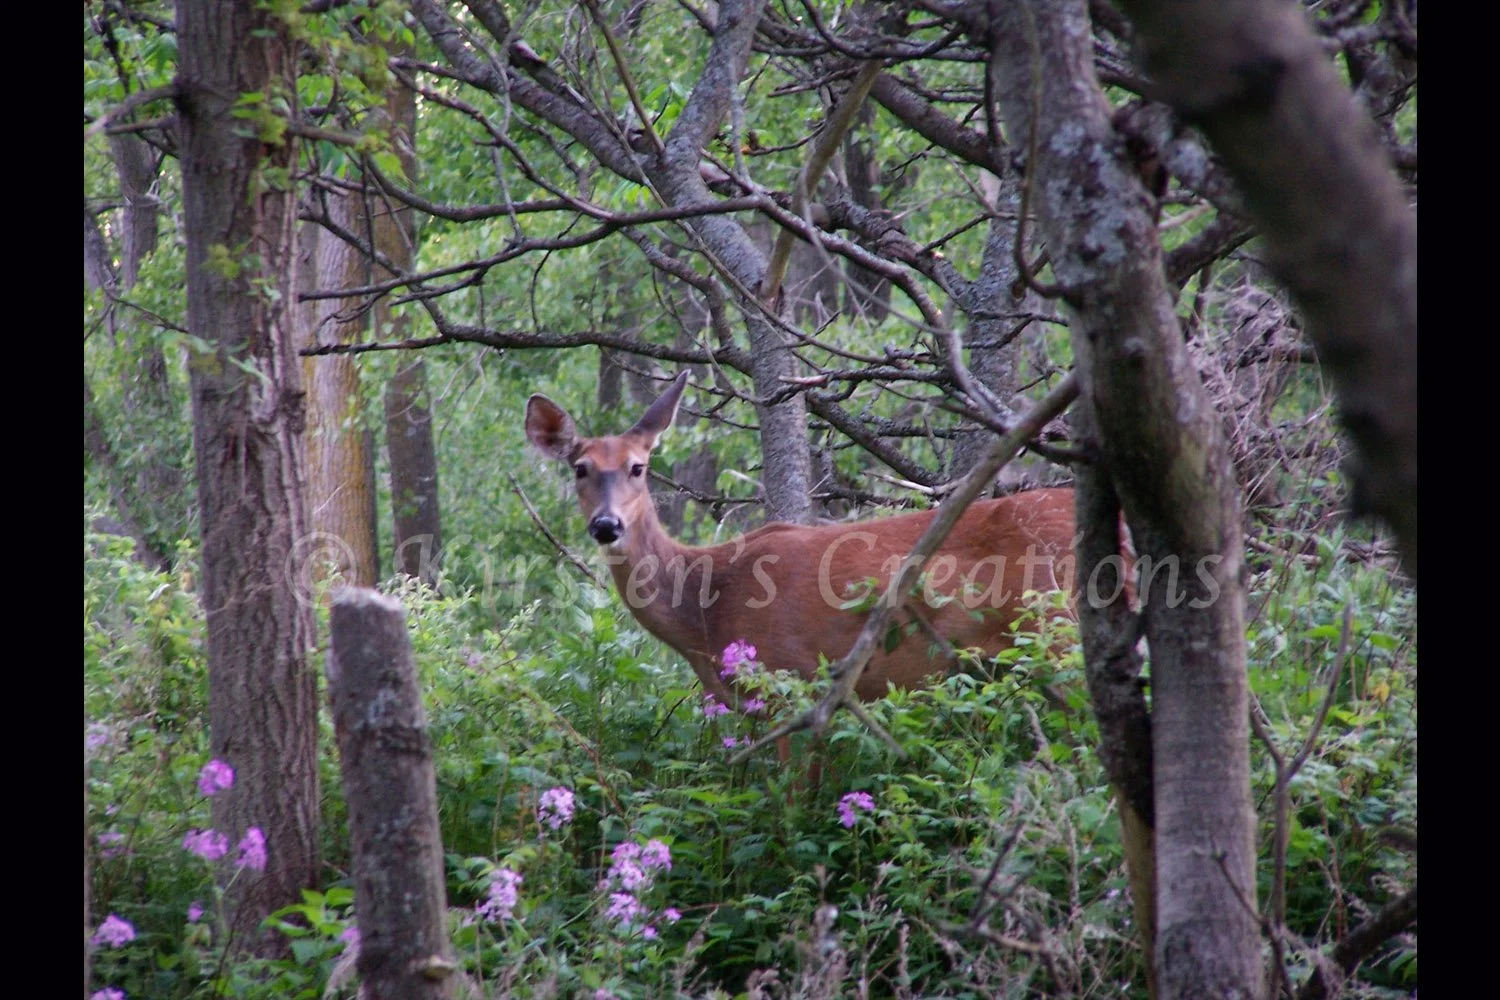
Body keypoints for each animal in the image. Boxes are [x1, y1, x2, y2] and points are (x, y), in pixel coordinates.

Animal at [524, 372, 1082, 731]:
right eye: (580, 468)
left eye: (638, 467)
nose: (606, 525)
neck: (703, 607)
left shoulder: (792, 679)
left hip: (1059, 631)